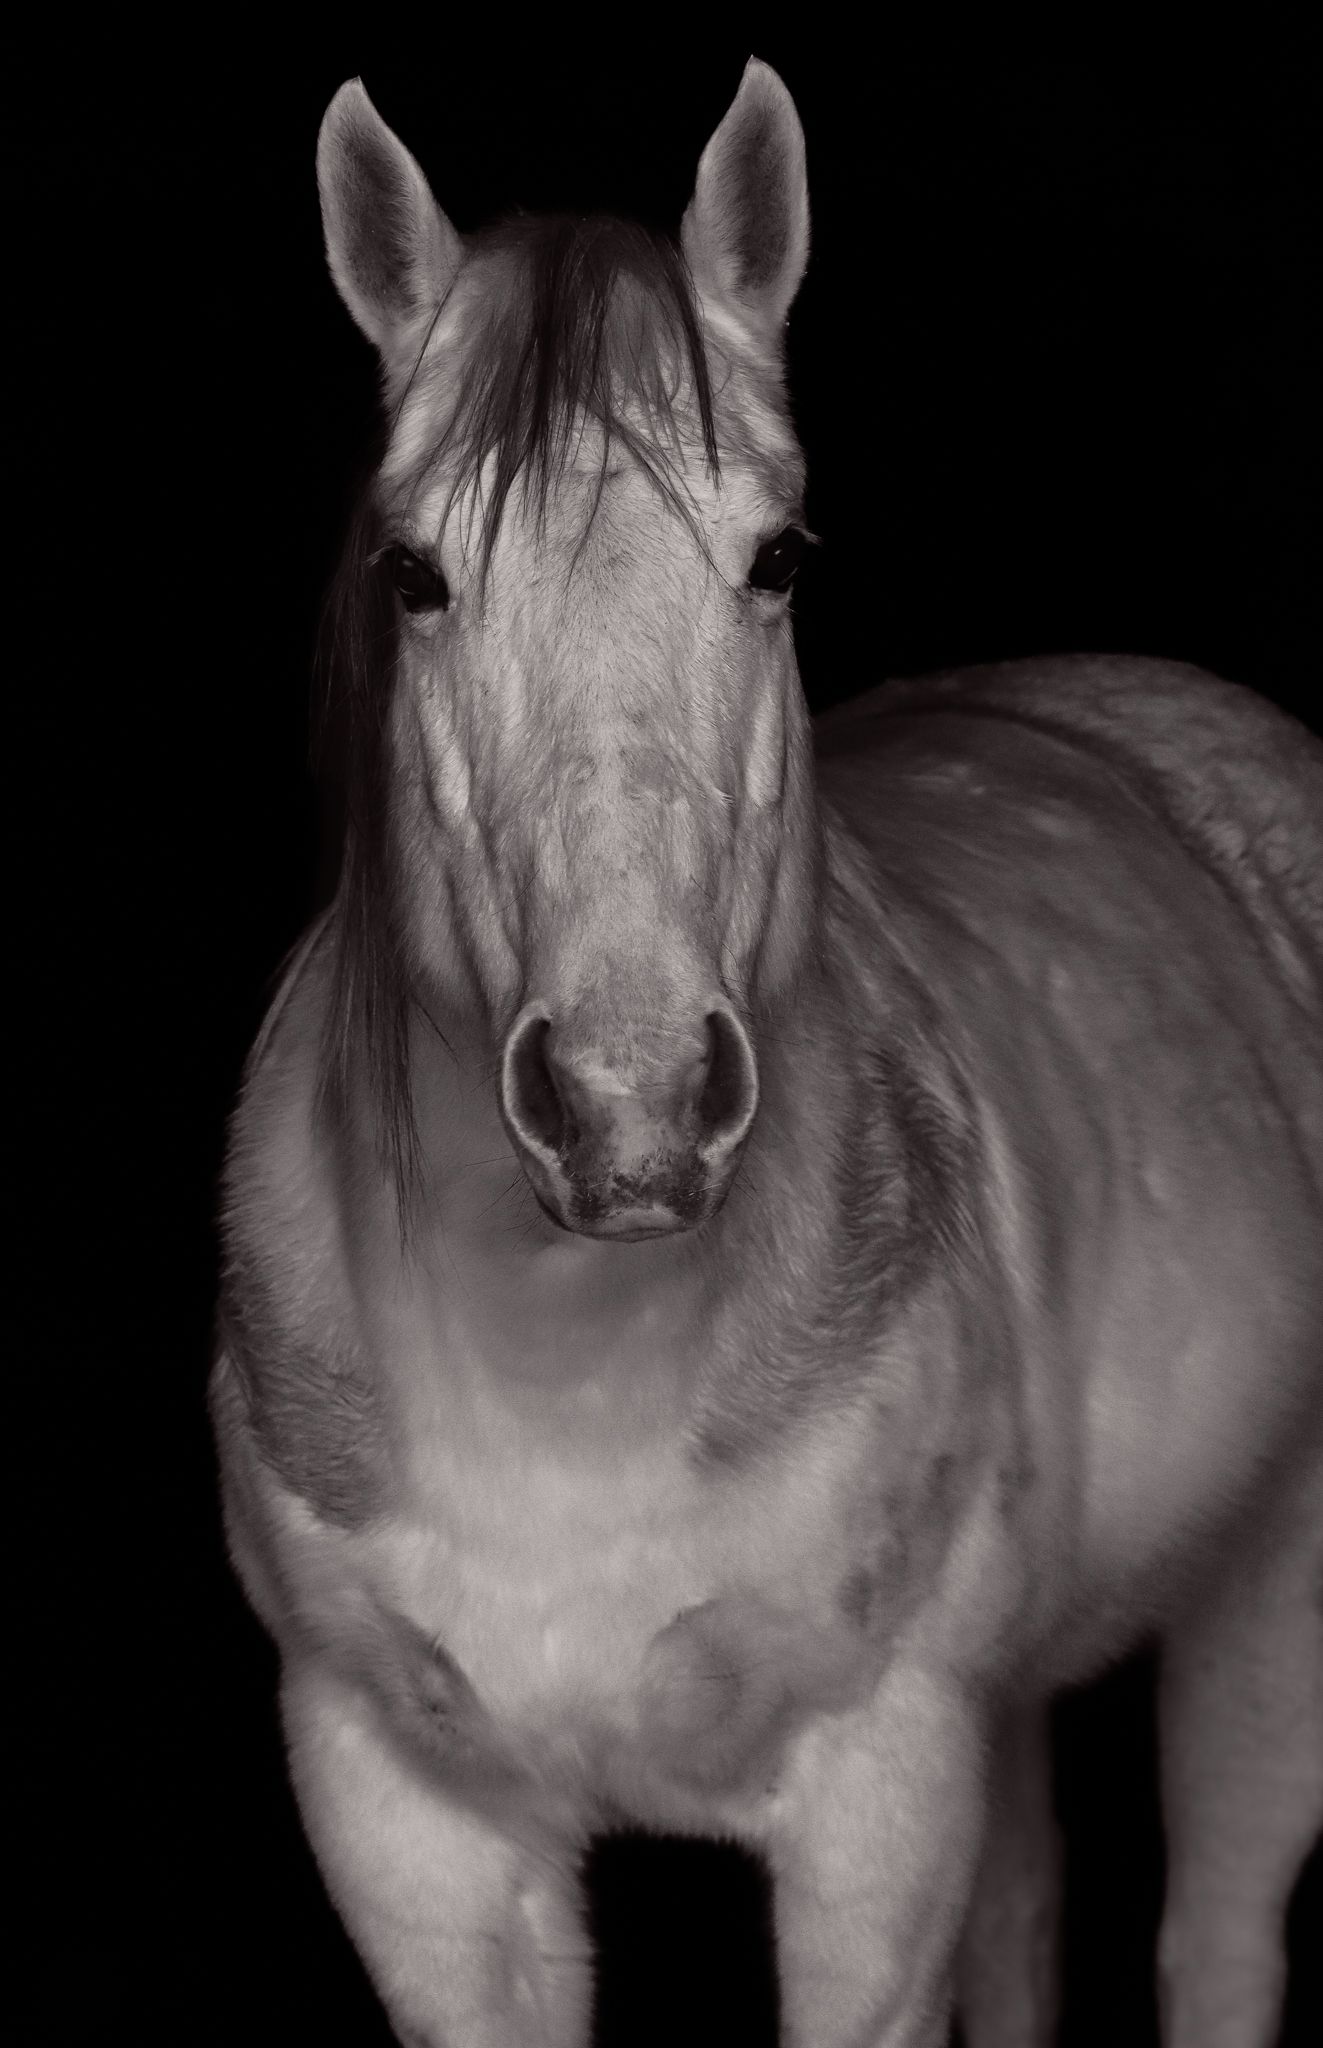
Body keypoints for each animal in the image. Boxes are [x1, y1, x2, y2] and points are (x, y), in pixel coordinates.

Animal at [212, 58, 1323, 2047]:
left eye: (777, 557)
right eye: (412, 572)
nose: (630, 1101)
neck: (563, 1370)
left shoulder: (876, 1800)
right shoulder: (408, 1831)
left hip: (1268, 1579)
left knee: (1216, 1925)